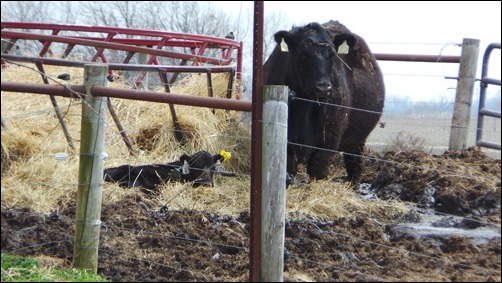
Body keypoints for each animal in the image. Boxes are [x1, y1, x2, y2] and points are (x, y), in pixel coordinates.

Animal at [264, 21, 386, 183]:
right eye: (303, 54)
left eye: (332, 55)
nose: (324, 88)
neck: (305, 103)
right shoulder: (288, 144)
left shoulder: (328, 140)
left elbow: (318, 170)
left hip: (357, 142)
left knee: (354, 166)